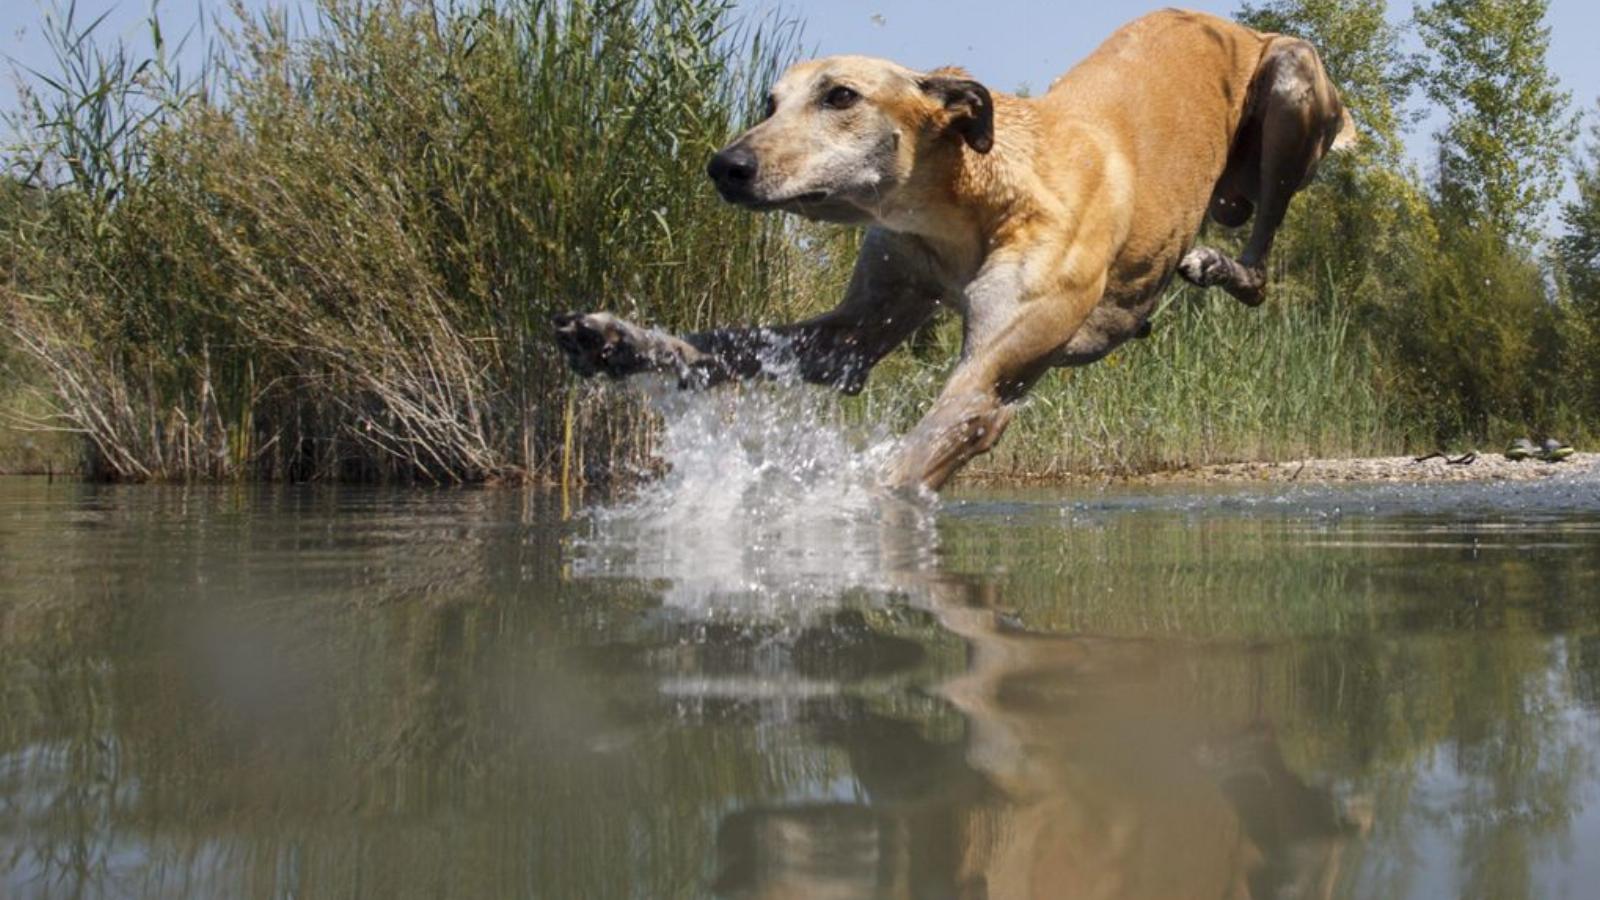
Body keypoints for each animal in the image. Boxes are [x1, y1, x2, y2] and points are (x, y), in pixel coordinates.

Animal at [550, 7, 1350, 486]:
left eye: (841, 96)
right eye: (769, 103)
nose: (726, 166)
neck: (977, 196)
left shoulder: (987, 384)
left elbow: (917, 453)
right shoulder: (858, 325)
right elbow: (732, 344)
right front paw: (617, 340)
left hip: (1291, 83)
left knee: (1262, 267)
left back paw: (1223, 262)